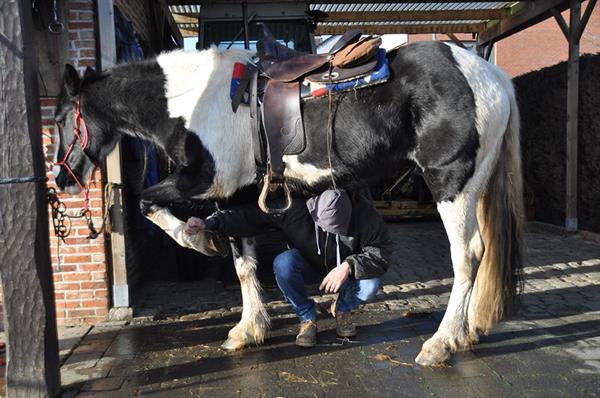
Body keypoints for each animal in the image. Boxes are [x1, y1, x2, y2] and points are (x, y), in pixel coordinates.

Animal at [52, 41, 524, 366]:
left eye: (59, 119)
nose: (61, 180)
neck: (195, 101)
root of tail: (490, 75)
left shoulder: (203, 182)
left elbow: (145, 202)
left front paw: (196, 239)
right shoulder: (238, 193)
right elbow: (243, 263)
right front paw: (248, 330)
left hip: (450, 182)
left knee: (466, 256)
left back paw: (440, 344)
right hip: (475, 185)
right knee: (481, 252)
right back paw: (466, 334)